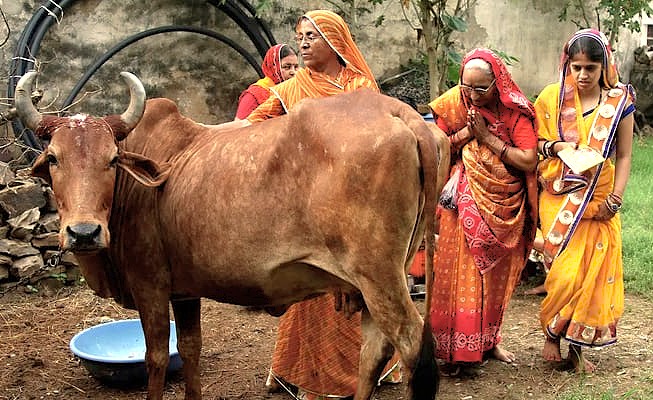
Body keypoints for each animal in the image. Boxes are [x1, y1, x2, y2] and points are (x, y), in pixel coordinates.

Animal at [14, 71, 450, 400]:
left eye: (111, 160)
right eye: (54, 158)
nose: (83, 232)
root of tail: (399, 112)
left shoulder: (149, 285)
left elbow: (156, 358)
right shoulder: (184, 291)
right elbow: (190, 350)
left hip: (379, 277)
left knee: (411, 346)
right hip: (376, 281)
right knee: (373, 353)